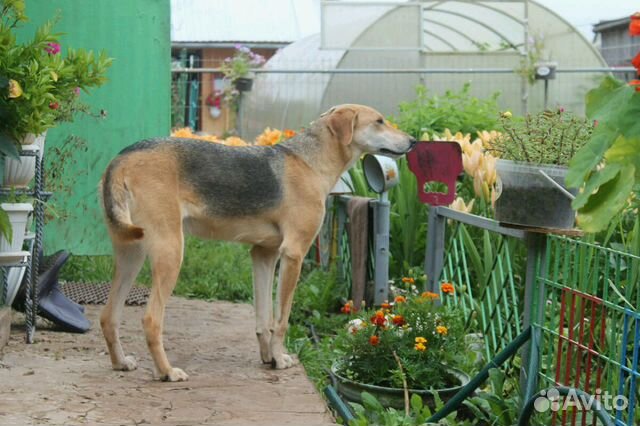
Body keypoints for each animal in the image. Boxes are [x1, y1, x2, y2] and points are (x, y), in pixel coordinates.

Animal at [98, 104, 418, 382]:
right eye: (379, 121)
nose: (414, 141)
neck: (310, 162)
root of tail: (121, 159)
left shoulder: (264, 255)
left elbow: (264, 319)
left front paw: (269, 358)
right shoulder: (293, 255)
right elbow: (282, 319)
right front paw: (280, 358)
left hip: (131, 255)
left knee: (108, 316)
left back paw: (120, 363)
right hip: (170, 252)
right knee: (151, 320)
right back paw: (167, 372)